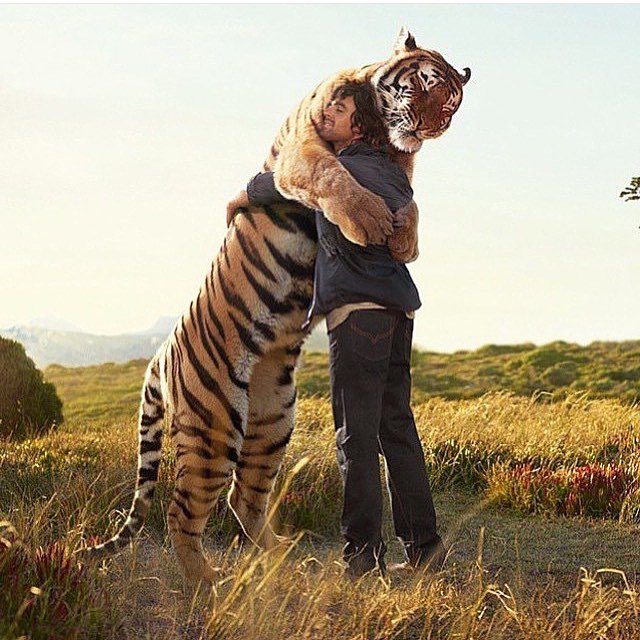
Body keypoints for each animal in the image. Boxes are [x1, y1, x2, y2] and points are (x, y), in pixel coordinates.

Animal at [79, 28, 470, 584]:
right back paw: (209, 585)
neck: (379, 134)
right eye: (425, 85)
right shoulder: (303, 150)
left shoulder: (401, 169)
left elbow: (410, 200)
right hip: (216, 426)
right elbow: (333, 175)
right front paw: (371, 221)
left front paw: (403, 239)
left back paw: (283, 559)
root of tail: (159, 355)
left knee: (242, 499)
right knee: (182, 511)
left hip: (272, 420)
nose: (431, 126)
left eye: (452, 105)